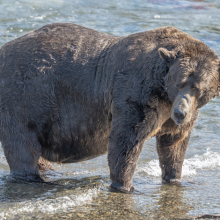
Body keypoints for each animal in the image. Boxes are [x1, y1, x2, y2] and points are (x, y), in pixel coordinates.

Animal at [0, 23, 218, 192]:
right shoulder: (136, 93)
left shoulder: (173, 114)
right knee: (22, 145)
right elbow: (126, 141)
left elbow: (174, 144)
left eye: (198, 88)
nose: (180, 113)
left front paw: (174, 178)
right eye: (180, 83)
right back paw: (34, 179)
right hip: (24, 97)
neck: (163, 91)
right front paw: (124, 185)